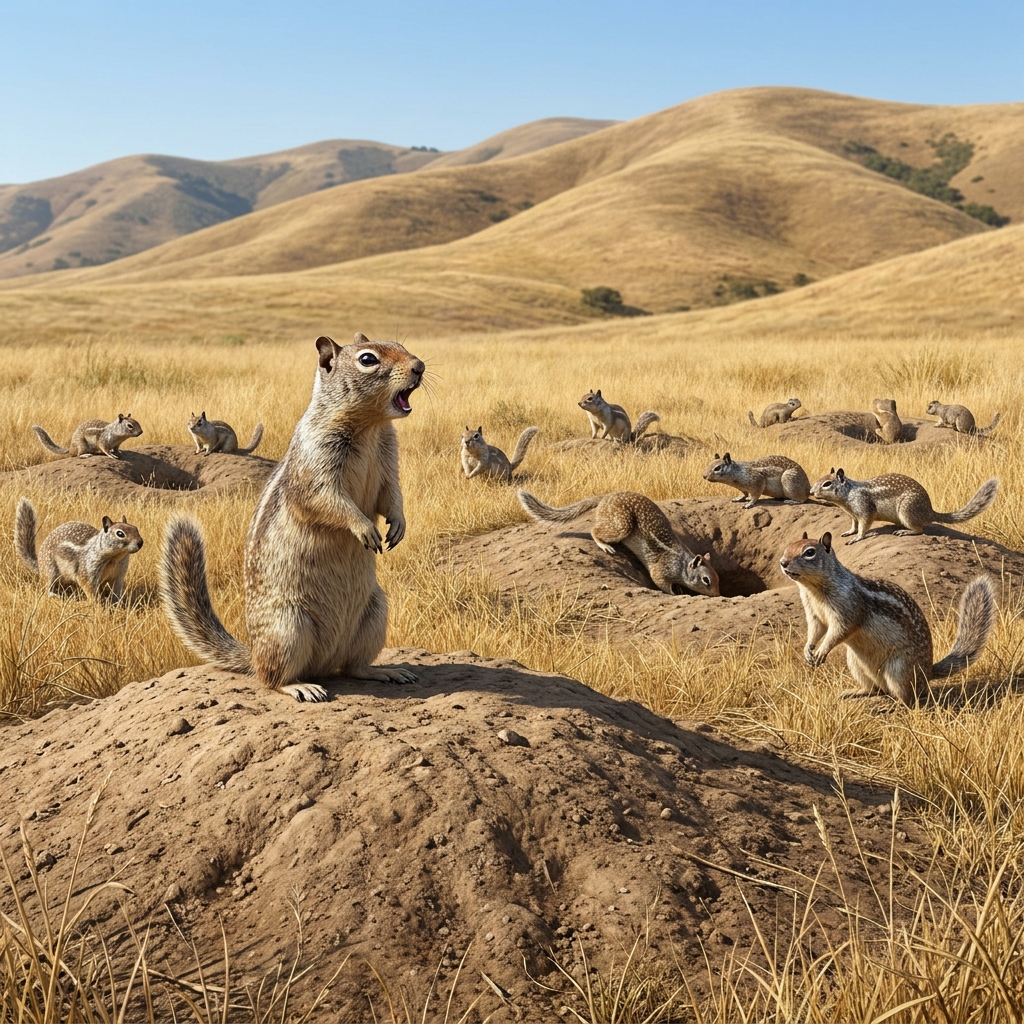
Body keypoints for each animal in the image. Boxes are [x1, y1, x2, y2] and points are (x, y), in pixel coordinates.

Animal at [14, 497, 143, 604]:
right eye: (120, 533)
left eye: (135, 528)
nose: (140, 542)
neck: (115, 557)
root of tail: (39, 565)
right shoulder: (88, 570)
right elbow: (88, 587)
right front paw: (98, 605)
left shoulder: (119, 574)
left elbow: (116, 591)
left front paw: (118, 603)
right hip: (50, 569)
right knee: (46, 586)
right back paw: (54, 595)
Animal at [161, 334, 423, 703]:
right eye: (368, 359)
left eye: (401, 345)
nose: (420, 366)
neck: (370, 426)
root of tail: (253, 653)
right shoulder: (315, 467)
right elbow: (329, 501)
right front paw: (364, 529)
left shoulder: (388, 462)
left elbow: (393, 497)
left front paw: (398, 526)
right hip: (288, 628)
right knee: (270, 679)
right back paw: (302, 687)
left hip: (375, 613)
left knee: (353, 668)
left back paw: (385, 671)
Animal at [518, 489, 720, 596]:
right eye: (706, 580)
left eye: (719, 578)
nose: (718, 595)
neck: (682, 564)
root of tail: (605, 497)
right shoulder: (661, 570)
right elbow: (661, 582)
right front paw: (675, 593)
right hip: (622, 524)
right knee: (594, 530)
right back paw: (605, 545)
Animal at [780, 530, 995, 705]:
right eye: (787, 547)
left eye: (809, 552)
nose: (782, 563)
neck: (813, 589)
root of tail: (928, 673)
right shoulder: (813, 612)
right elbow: (816, 630)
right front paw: (808, 650)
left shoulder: (848, 606)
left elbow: (840, 630)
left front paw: (821, 651)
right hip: (855, 663)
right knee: (876, 689)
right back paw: (854, 692)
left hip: (899, 670)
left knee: (909, 699)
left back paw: (894, 705)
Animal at [810, 469, 998, 544]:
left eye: (827, 484)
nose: (811, 491)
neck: (848, 495)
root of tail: (930, 512)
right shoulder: (852, 515)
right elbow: (854, 525)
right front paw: (849, 532)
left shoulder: (864, 509)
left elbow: (864, 526)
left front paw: (856, 538)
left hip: (907, 510)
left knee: (920, 530)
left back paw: (905, 531)